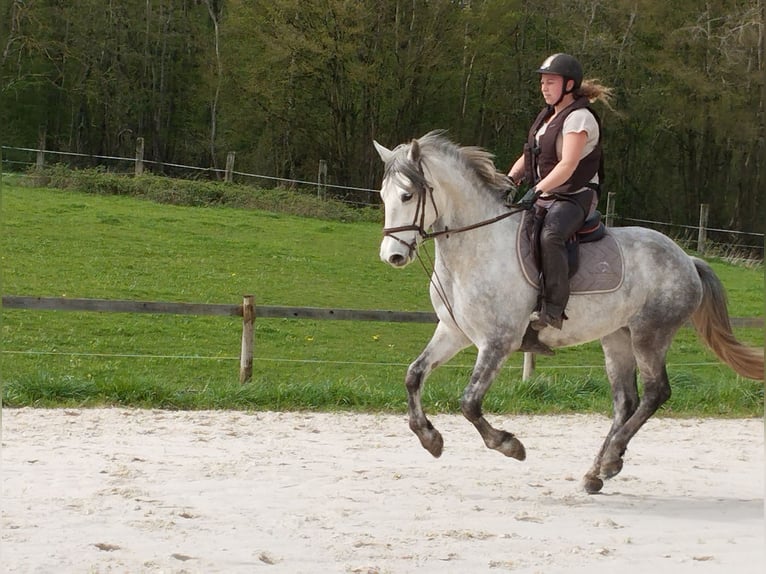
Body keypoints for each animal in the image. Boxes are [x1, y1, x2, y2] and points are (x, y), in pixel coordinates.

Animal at [376, 130, 764, 496]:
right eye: (383, 196)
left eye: (407, 196)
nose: (392, 256)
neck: (475, 249)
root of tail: (687, 259)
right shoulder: (452, 332)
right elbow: (413, 375)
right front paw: (430, 438)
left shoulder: (498, 341)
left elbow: (469, 402)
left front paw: (510, 445)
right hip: (617, 338)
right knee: (626, 401)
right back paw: (597, 472)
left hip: (650, 335)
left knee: (656, 393)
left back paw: (610, 460)